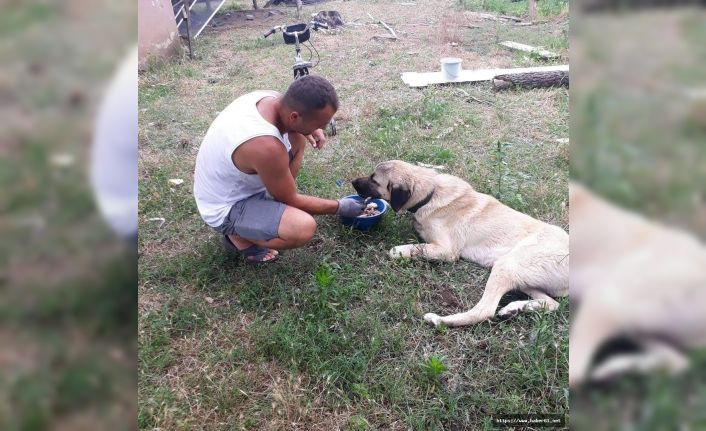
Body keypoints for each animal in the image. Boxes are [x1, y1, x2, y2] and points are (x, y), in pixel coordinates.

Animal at [352, 161, 568, 328]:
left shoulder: (446, 251)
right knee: (551, 304)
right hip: (523, 277)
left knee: (484, 311)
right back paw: (515, 309)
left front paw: (398, 250)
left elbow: (405, 249)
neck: (431, 193)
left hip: (508, 265)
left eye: (374, 180)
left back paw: (439, 320)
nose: (353, 182)